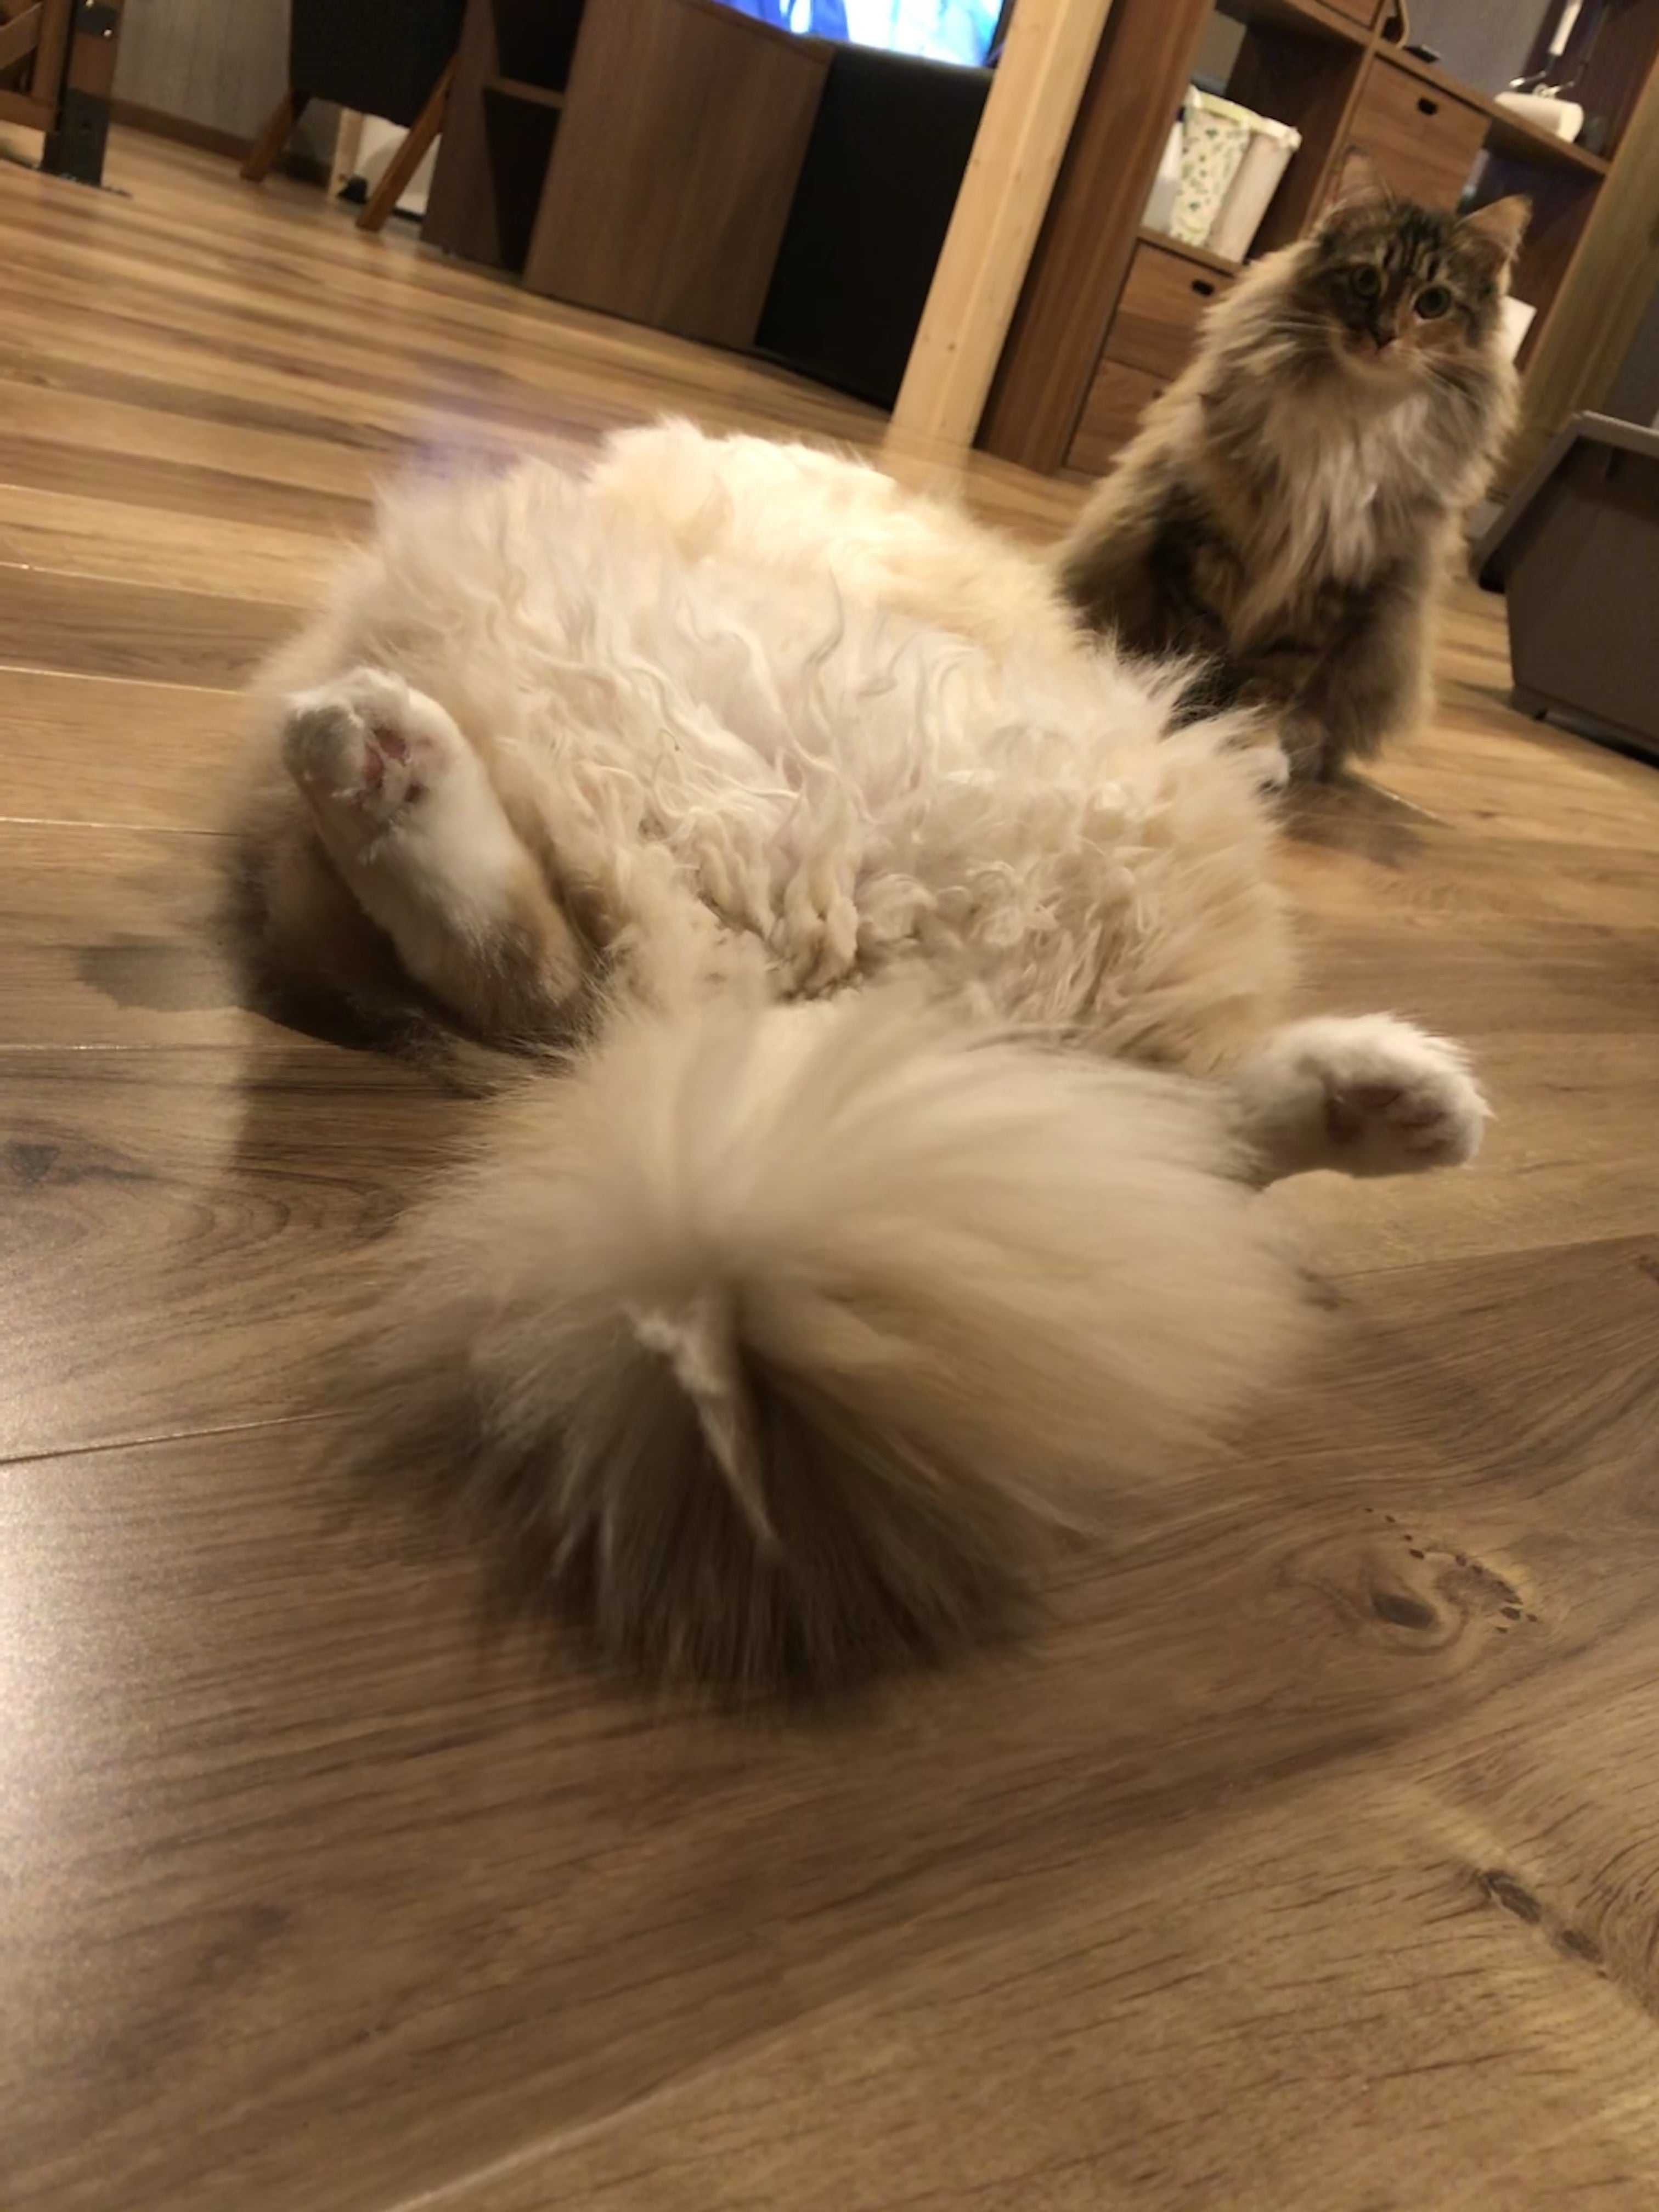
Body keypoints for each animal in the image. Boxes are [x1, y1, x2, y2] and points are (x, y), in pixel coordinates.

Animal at [1058, 154, 1528, 780]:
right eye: (1366, 281)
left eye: (1433, 303)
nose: (1383, 335)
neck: (1356, 406)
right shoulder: (1205, 542)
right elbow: (1197, 649)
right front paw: (1183, 716)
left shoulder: (1337, 580)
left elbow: (1274, 683)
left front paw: (1249, 745)